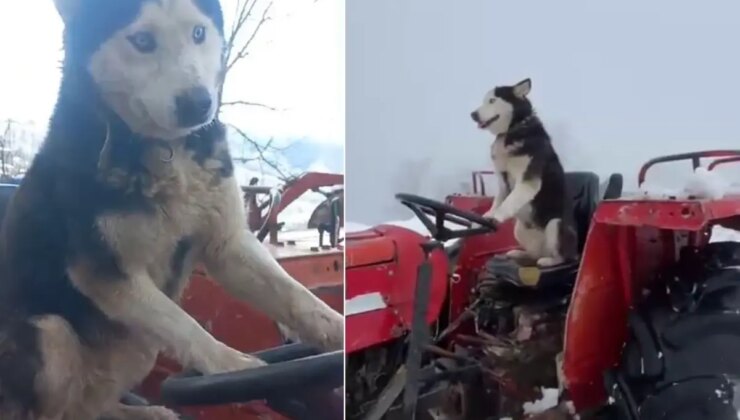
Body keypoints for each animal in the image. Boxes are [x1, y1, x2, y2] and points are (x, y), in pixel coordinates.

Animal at [0, 0, 344, 420]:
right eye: (142, 40)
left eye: (198, 33)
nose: (199, 102)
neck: (163, 148)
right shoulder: (103, 271)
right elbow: (183, 325)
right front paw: (234, 366)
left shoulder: (227, 245)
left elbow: (298, 297)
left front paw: (344, 329)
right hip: (51, 334)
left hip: (134, 352)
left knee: (90, 407)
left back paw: (146, 412)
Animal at [472, 79, 576, 268]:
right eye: (484, 101)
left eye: (492, 100)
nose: (473, 114)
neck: (512, 130)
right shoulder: (503, 181)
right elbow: (499, 200)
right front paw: (488, 215)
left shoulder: (527, 181)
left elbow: (508, 203)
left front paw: (496, 217)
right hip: (519, 229)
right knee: (533, 253)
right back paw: (520, 253)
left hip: (555, 224)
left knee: (561, 256)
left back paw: (549, 260)